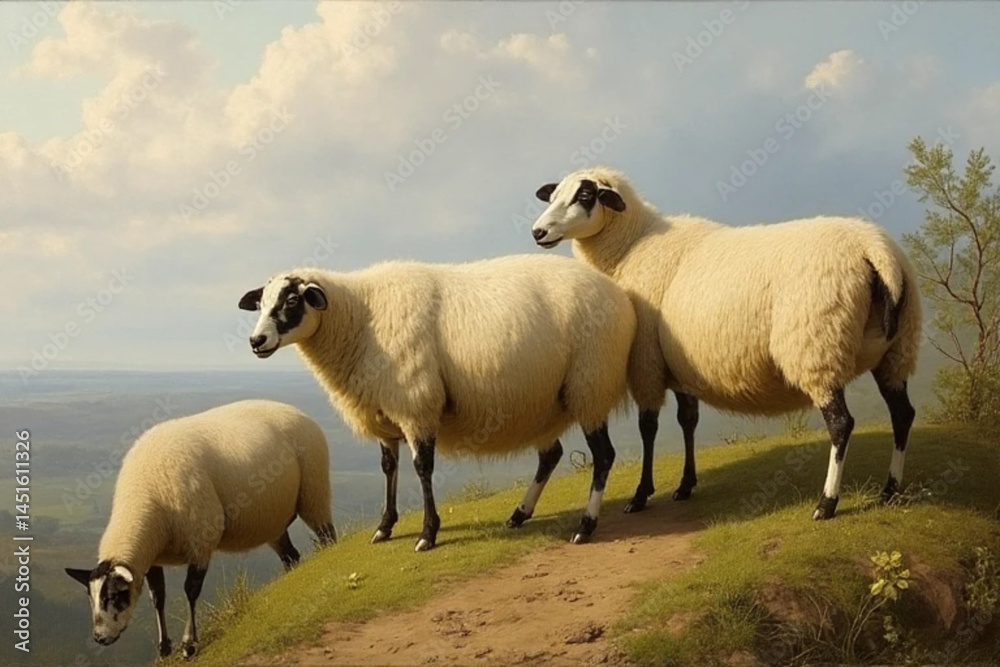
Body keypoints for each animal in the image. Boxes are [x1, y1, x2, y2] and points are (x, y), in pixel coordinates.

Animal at [65, 399, 336, 659]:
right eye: (91, 597)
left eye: (114, 595)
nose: (100, 638)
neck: (147, 503)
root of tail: (297, 411)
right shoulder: (153, 557)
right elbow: (157, 597)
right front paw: (164, 647)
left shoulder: (201, 541)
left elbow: (191, 592)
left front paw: (189, 645)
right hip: (274, 522)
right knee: (291, 556)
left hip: (315, 491)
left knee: (327, 537)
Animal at [237, 254, 636, 551]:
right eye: (261, 304)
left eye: (291, 301)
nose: (256, 342)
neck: (359, 317)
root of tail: (621, 295)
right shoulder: (387, 410)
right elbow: (388, 467)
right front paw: (385, 527)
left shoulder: (416, 404)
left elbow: (422, 467)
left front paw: (428, 534)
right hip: (545, 403)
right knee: (551, 455)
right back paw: (519, 514)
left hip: (590, 383)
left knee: (603, 455)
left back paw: (586, 526)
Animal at [530, 167, 922, 521]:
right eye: (553, 195)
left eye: (584, 196)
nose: (538, 232)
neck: (630, 247)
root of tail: (876, 252)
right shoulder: (677, 364)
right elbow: (688, 420)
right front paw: (685, 485)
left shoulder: (646, 361)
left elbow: (648, 428)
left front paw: (641, 495)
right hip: (897, 350)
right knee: (902, 413)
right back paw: (890, 489)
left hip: (816, 349)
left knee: (841, 423)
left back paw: (827, 504)